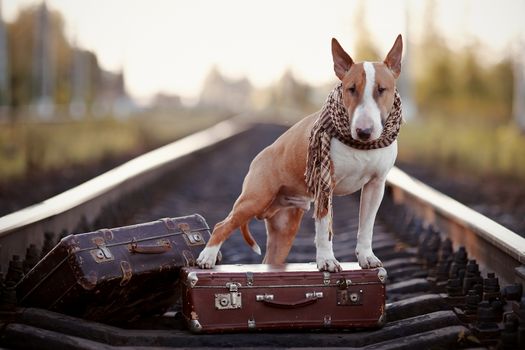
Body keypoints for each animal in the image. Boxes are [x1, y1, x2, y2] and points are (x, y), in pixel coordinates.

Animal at [196, 34, 402, 272]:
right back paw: (207, 257)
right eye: (351, 89)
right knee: (222, 225)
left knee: (270, 257)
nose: (364, 132)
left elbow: (367, 226)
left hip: (285, 226)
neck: (360, 146)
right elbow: (324, 228)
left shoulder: (376, 186)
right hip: (254, 198)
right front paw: (327, 260)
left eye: (381, 89)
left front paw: (367, 257)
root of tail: (259, 158)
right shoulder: (325, 184)